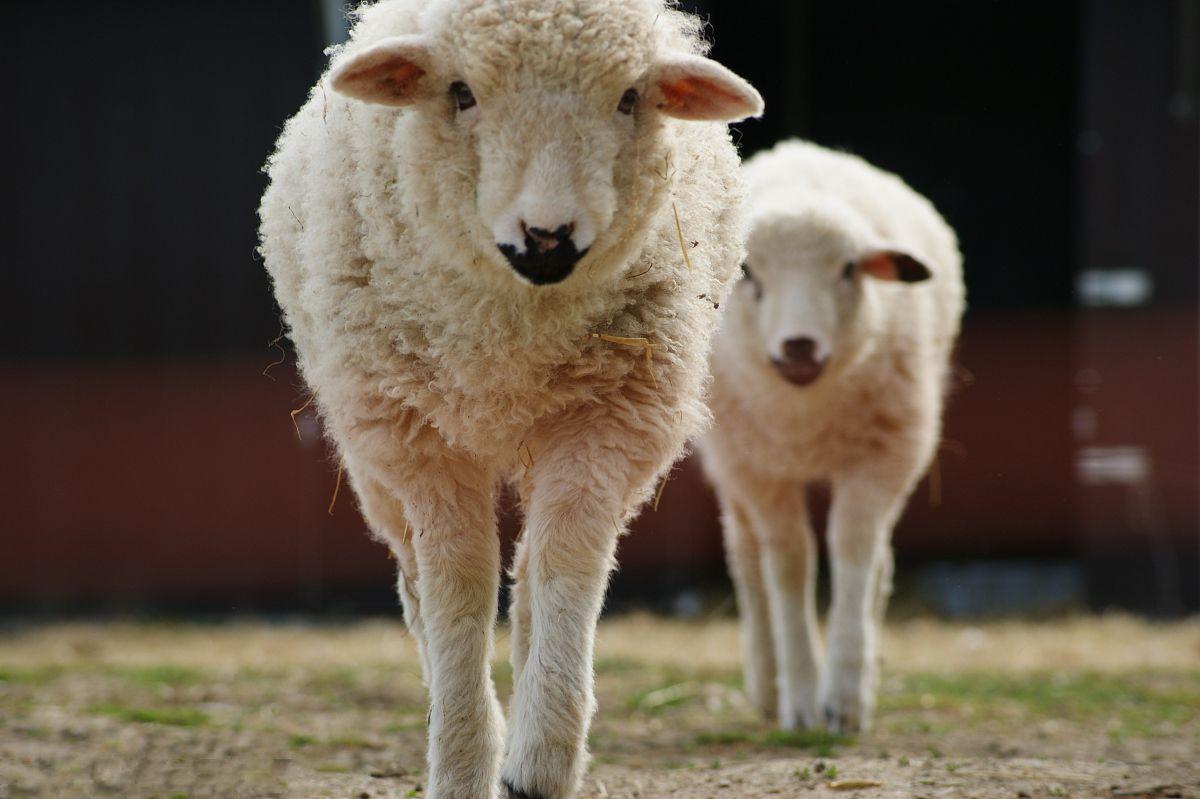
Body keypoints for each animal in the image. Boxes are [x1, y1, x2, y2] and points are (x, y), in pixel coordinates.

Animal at [256, 1, 758, 796]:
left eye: (629, 97)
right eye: (461, 92)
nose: (547, 238)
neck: (515, 331)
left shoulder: (609, 422)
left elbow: (563, 563)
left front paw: (539, 759)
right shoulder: (419, 439)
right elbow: (459, 583)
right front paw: (463, 761)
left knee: (529, 576)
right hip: (371, 454)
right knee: (417, 583)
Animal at [700, 138, 964, 734]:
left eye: (847, 269)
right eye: (748, 271)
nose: (799, 346)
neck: (807, 415)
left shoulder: (883, 459)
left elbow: (853, 550)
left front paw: (844, 696)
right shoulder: (758, 471)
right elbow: (789, 563)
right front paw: (800, 697)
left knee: (879, 564)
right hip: (731, 462)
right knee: (747, 561)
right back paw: (767, 686)